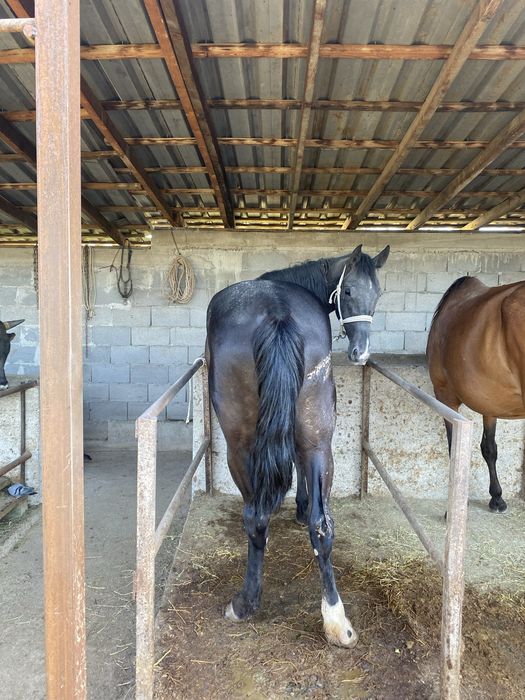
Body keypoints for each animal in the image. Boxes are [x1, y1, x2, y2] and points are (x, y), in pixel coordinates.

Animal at [205, 244, 389, 647]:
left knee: (256, 517)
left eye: (378, 293)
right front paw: (303, 508)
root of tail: (277, 314)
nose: (361, 353)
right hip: (319, 436)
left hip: (239, 446)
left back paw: (244, 604)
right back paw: (336, 620)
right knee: (323, 525)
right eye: (348, 290)